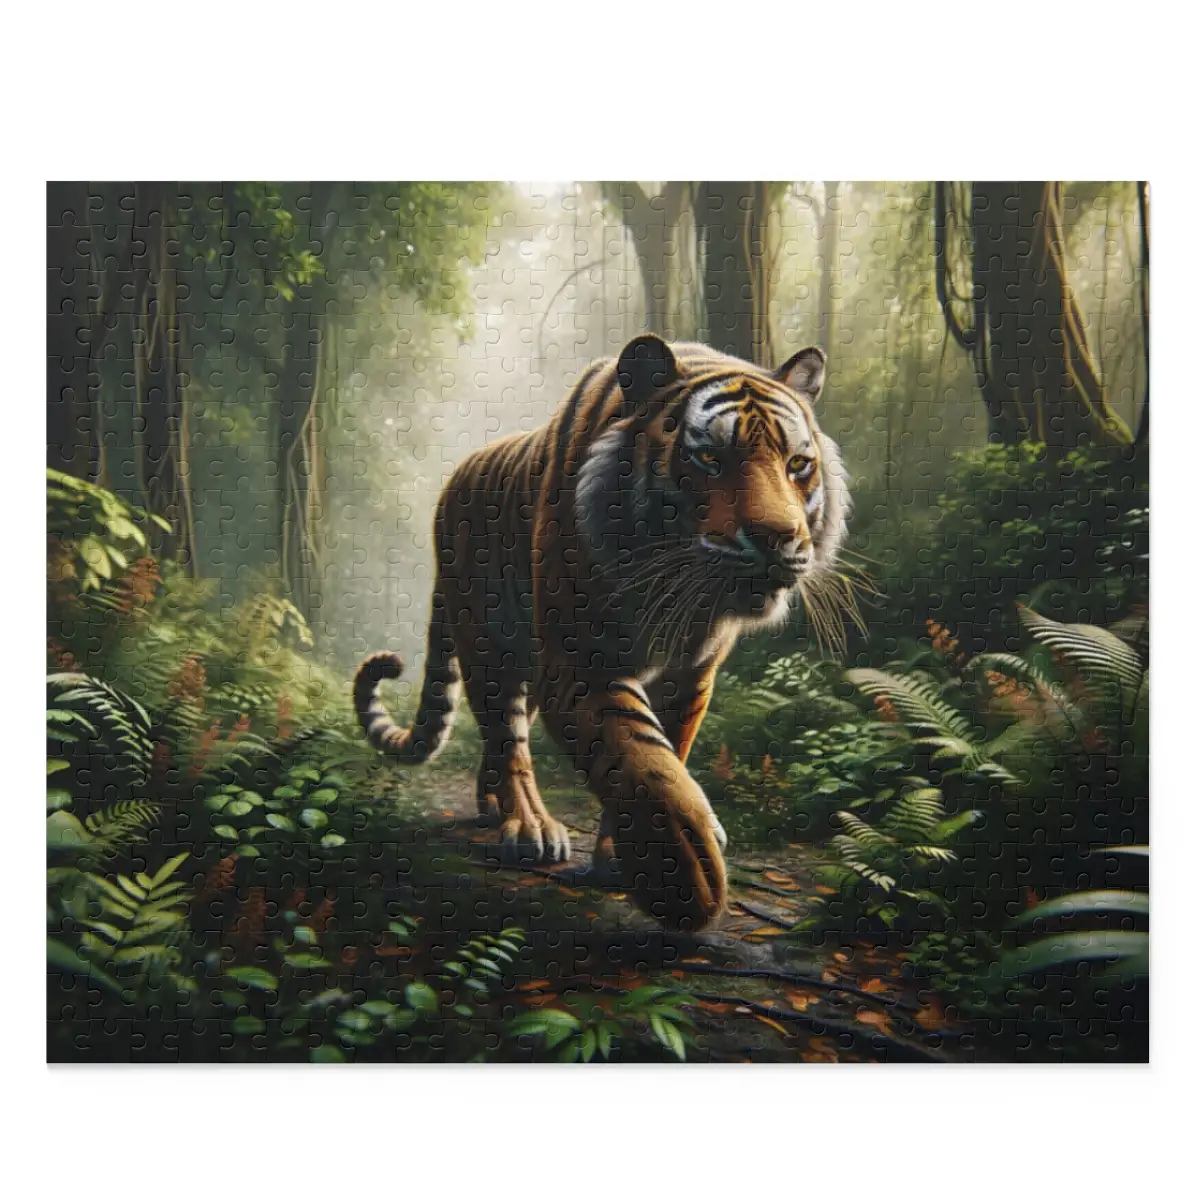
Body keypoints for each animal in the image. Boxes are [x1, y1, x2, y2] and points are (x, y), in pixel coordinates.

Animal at [353, 334, 850, 931]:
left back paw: (492, 808)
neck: (677, 594)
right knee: (508, 738)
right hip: (489, 644)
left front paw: (622, 860)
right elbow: (645, 764)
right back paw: (527, 827)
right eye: (710, 459)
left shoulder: (691, 673)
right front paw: (685, 880)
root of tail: (452, 484)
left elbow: (663, 752)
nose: (778, 538)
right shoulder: (581, 662)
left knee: (502, 739)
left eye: (798, 465)